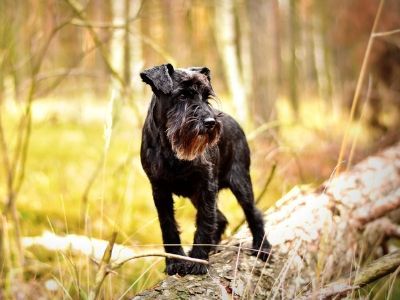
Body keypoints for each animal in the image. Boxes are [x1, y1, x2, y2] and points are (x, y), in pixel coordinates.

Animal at [139, 64, 270, 276]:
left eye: (206, 96)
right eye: (182, 95)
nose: (210, 122)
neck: (171, 149)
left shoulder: (206, 186)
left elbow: (204, 221)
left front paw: (199, 261)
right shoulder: (159, 190)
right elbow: (168, 226)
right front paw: (175, 261)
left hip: (241, 182)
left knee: (253, 213)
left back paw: (262, 247)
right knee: (222, 218)